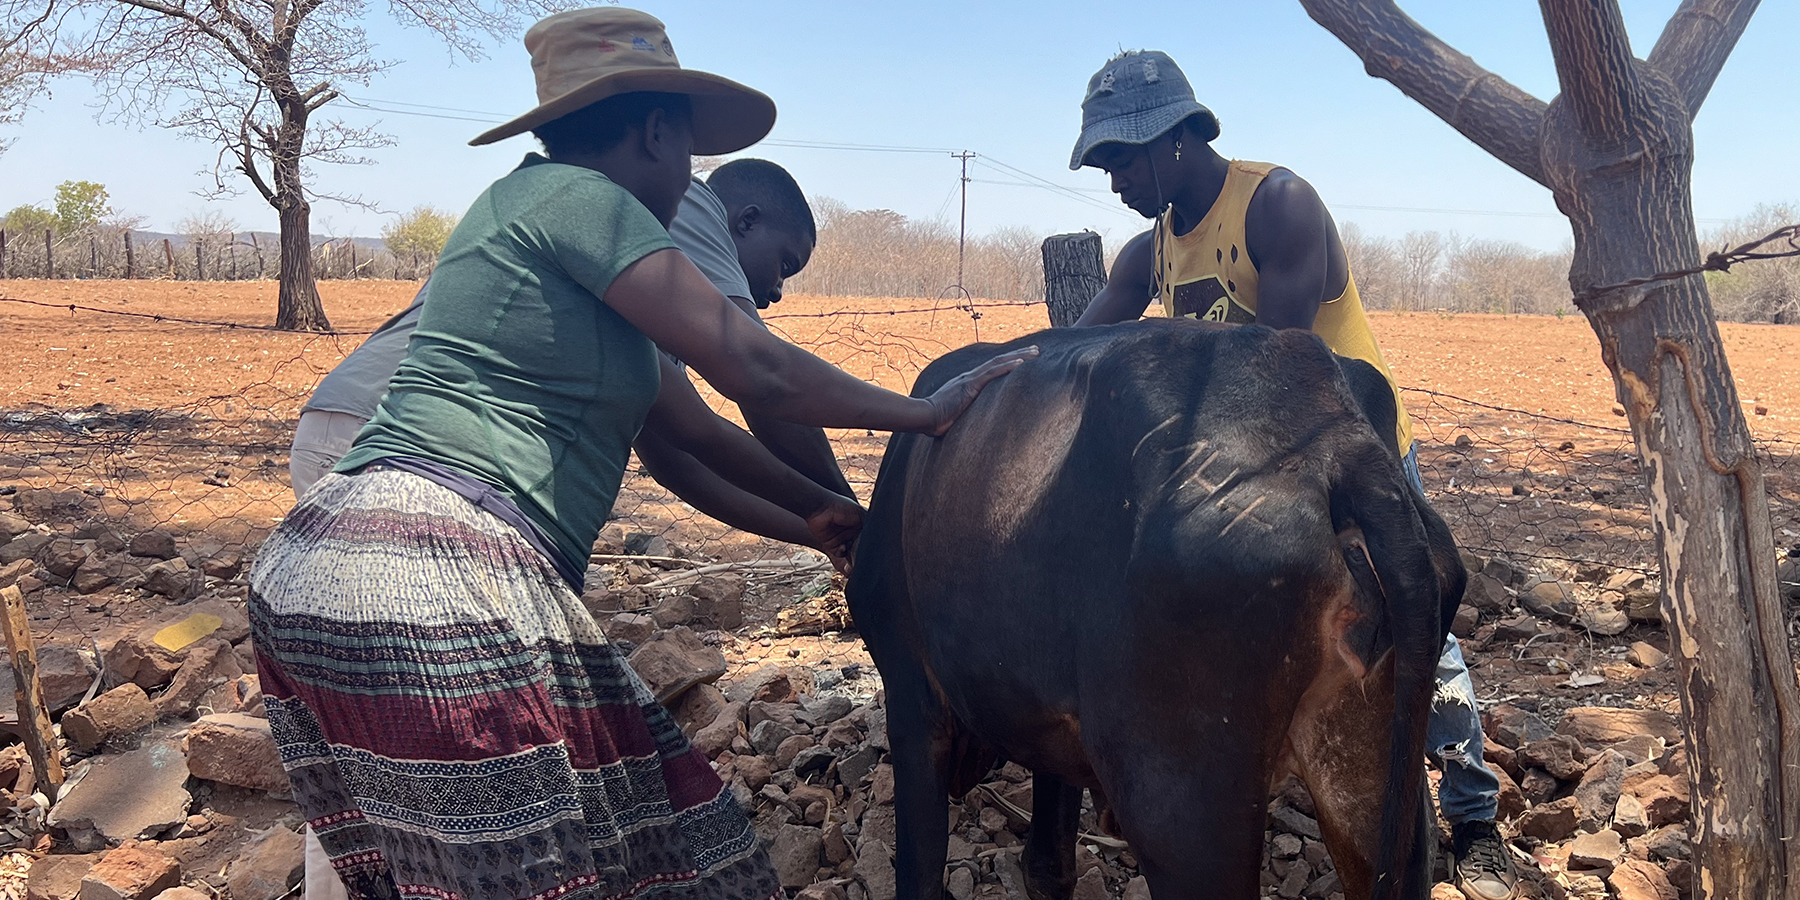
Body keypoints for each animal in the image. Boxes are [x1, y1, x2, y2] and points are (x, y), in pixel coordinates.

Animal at [842, 318, 1461, 900]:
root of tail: (1345, 444)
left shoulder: (912, 692)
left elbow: (920, 876)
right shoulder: (1051, 727)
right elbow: (1047, 866)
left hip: (1179, 811)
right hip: (1371, 789)